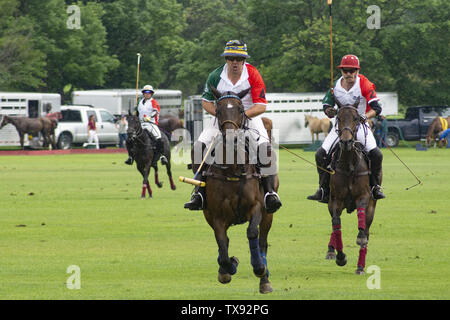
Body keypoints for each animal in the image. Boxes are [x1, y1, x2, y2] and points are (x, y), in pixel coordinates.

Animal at [195, 86, 276, 294]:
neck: (232, 168)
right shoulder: (216, 216)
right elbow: (222, 245)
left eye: (240, 110)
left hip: (269, 215)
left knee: (263, 241)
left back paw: (265, 279)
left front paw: (259, 268)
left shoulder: (256, 207)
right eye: (218, 110)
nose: (230, 137)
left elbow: (252, 233)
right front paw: (229, 267)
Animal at [326, 99, 378, 276]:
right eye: (338, 117)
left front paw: (360, 237)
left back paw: (361, 266)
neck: (349, 164)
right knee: (334, 223)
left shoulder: (364, 196)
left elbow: (361, 219)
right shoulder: (336, 200)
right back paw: (331, 250)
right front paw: (340, 256)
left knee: (367, 230)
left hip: (372, 208)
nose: (346, 141)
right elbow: (336, 225)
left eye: (356, 118)